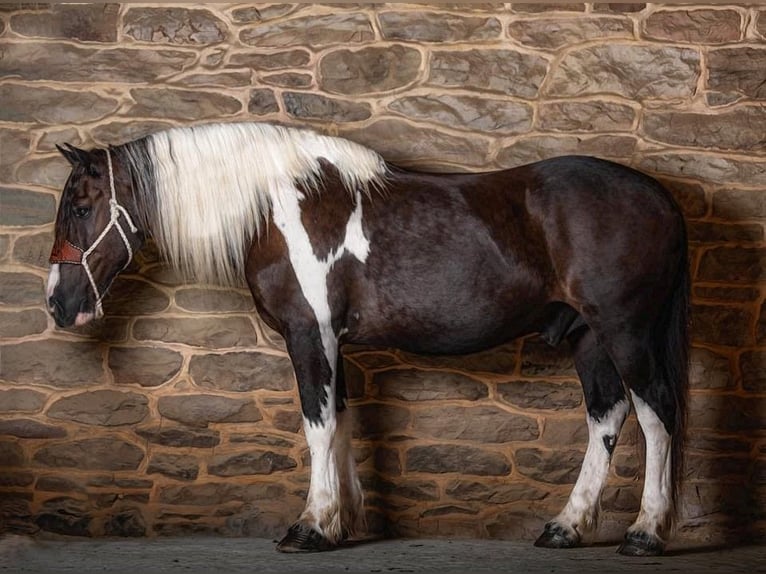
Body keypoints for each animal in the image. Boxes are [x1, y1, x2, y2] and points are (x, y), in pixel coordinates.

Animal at [46, 121, 688, 560]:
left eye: (79, 206)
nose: (58, 304)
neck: (280, 207)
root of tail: (659, 195)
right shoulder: (335, 343)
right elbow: (341, 421)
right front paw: (342, 520)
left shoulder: (310, 335)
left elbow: (318, 424)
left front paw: (311, 524)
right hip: (588, 336)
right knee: (606, 416)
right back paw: (565, 526)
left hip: (623, 330)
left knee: (656, 412)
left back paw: (645, 532)